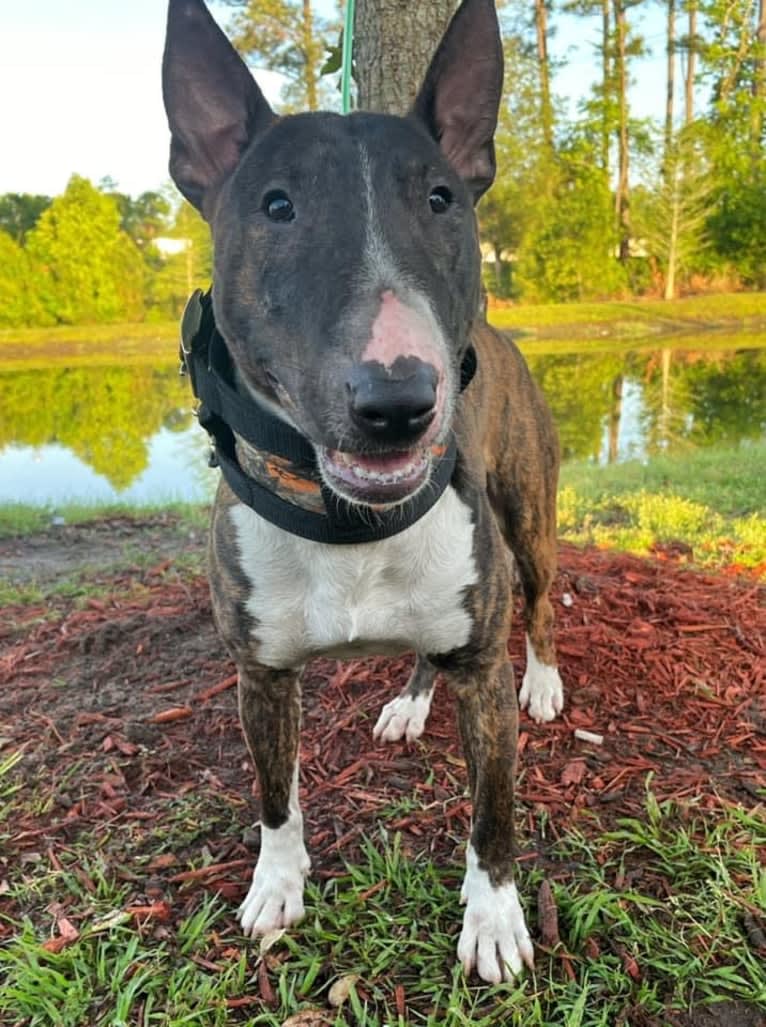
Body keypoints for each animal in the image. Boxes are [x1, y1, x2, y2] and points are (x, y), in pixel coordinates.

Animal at [161, 0, 562, 981]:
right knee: (428, 651)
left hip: (527, 519)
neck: (350, 524)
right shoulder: (261, 672)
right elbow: (275, 796)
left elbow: (493, 812)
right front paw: (276, 886)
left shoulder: (483, 672)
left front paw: (495, 918)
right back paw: (411, 699)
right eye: (277, 204)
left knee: (540, 601)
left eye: (442, 198)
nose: (398, 399)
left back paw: (544, 680)